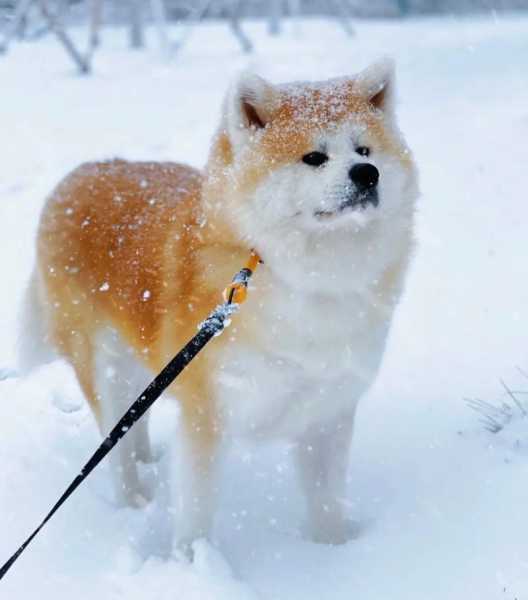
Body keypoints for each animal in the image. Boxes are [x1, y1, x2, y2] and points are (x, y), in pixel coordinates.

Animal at [20, 61, 418, 548]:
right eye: (314, 157)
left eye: (365, 149)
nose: (366, 173)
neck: (302, 275)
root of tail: (75, 177)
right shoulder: (206, 414)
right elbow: (196, 513)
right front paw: (194, 562)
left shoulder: (328, 410)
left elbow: (327, 503)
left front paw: (335, 553)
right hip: (102, 367)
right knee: (116, 448)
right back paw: (135, 498)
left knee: (134, 426)